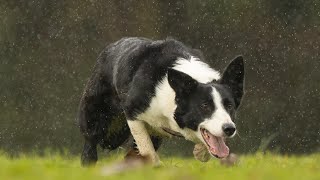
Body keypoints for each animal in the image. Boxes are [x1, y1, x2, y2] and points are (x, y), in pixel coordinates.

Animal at [78, 36, 245, 166]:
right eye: (204, 106)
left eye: (229, 105)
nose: (229, 129)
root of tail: (110, 48)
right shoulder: (132, 112)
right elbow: (147, 149)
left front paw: (200, 151)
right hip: (94, 116)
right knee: (90, 145)